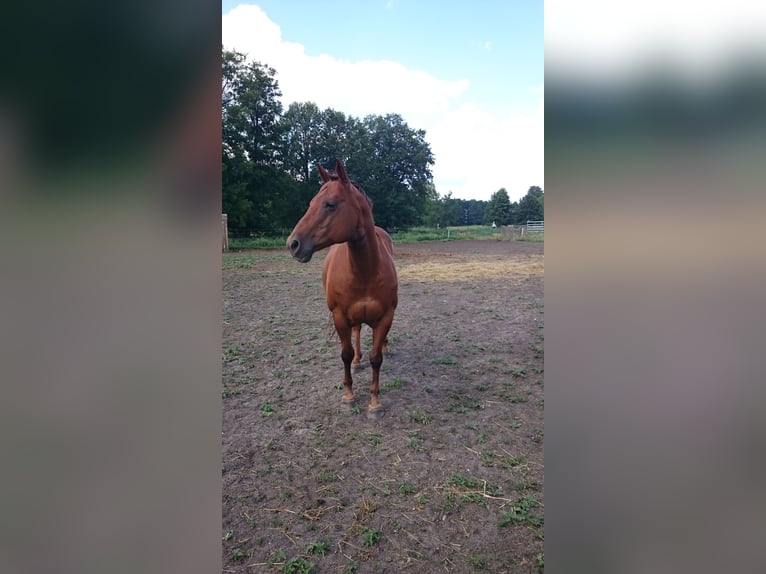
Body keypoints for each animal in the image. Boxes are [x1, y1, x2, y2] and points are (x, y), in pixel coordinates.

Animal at [287, 158, 398, 411]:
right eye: (311, 203)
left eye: (330, 204)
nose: (293, 244)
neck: (366, 271)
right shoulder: (339, 316)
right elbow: (345, 354)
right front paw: (348, 394)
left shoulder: (386, 316)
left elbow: (376, 358)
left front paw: (374, 401)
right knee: (356, 333)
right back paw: (357, 362)